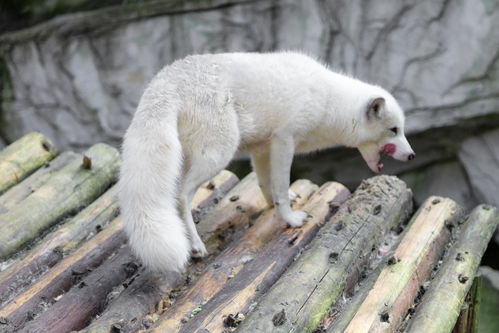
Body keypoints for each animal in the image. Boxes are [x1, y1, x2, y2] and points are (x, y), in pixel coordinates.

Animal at [119, 51, 416, 272]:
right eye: (394, 130)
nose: (412, 155)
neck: (330, 102)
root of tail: (164, 83)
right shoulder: (284, 141)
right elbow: (281, 186)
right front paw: (290, 219)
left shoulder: (262, 149)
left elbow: (266, 184)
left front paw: (273, 207)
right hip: (218, 153)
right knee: (181, 195)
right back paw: (195, 245)